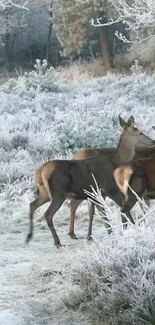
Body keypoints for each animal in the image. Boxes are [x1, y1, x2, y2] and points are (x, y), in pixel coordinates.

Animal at [26, 115, 154, 247]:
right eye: (140, 132)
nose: (152, 142)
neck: (115, 161)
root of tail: (39, 172)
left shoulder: (98, 193)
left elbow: (100, 213)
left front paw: (106, 233)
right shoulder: (111, 188)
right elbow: (123, 210)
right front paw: (132, 229)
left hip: (44, 192)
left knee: (32, 205)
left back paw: (29, 236)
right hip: (58, 193)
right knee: (48, 214)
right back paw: (57, 241)